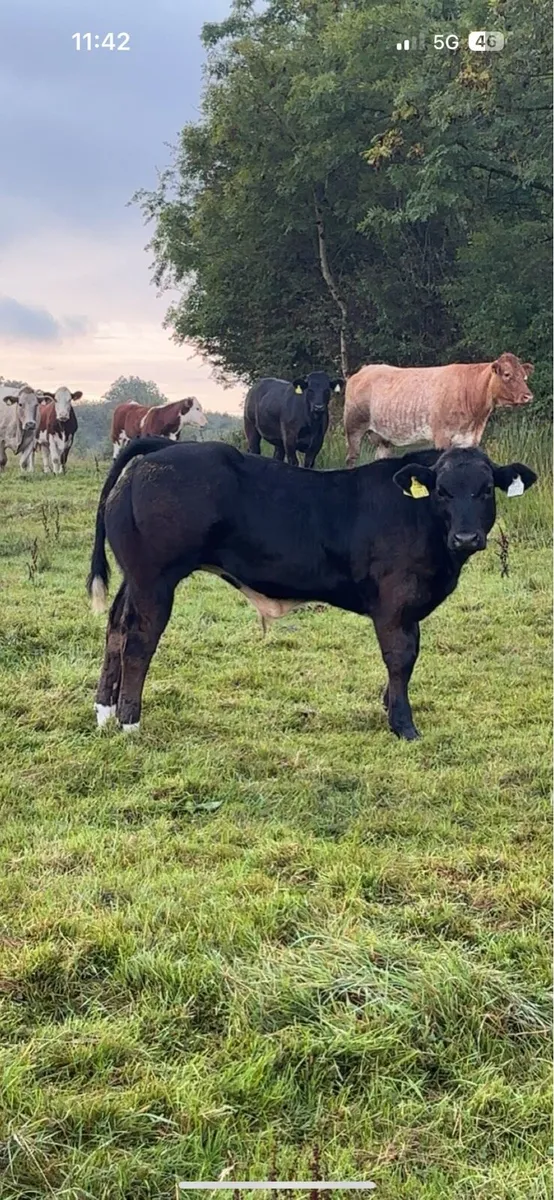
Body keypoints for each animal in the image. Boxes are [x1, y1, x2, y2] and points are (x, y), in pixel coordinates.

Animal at [87, 437, 536, 740]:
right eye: (442, 490)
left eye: (485, 489)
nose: (466, 537)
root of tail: (159, 452)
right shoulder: (394, 604)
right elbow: (401, 657)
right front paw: (403, 724)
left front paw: (389, 706)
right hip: (155, 580)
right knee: (139, 640)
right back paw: (130, 723)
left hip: (134, 578)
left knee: (115, 628)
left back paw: (105, 711)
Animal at [344, 353, 534, 467]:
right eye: (507, 374)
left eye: (524, 376)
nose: (528, 396)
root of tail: (363, 370)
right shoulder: (442, 436)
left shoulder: (470, 439)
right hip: (353, 428)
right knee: (351, 459)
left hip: (383, 438)